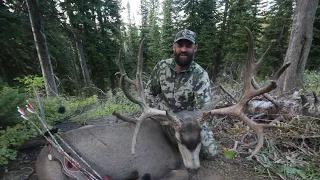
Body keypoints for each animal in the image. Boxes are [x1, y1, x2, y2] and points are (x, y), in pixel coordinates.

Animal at [35, 27, 290, 179]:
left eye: (200, 137)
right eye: (178, 138)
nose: (194, 167)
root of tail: (41, 158)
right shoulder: (156, 167)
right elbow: (178, 174)